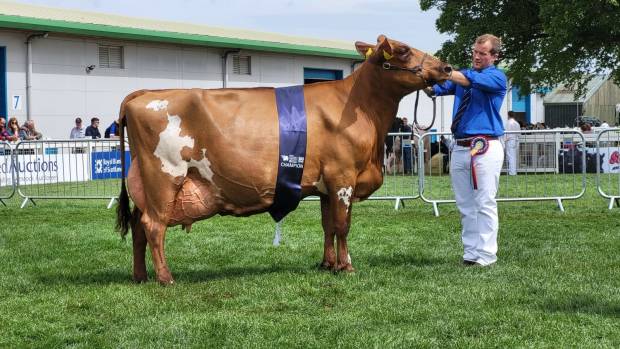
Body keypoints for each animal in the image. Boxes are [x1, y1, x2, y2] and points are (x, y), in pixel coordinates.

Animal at [116, 35, 450, 284]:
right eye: (403, 50)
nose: (447, 67)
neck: (360, 107)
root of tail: (143, 94)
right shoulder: (343, 178)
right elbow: (343, 225)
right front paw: (347, 267)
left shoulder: (327, 185)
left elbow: (328, 225)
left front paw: (328, 264)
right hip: (164, 176)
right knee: (153, 226)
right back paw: (165, 278)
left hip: (145, 182)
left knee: (138, 226)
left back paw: (140, 276)